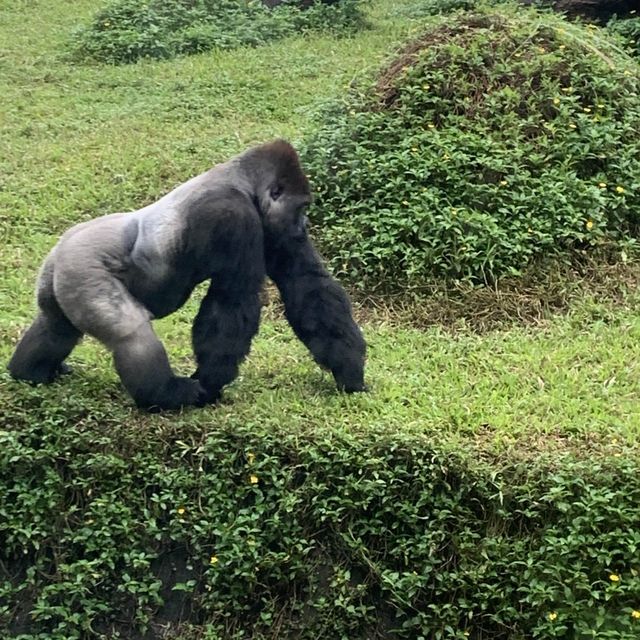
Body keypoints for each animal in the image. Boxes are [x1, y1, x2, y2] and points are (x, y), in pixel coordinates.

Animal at [7, 139, 368, 410]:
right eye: (302, 207)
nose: (303, 226)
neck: (243, 181)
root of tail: (62, 247)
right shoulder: (232, 215)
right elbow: (231, 300)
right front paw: (208, 383)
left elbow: (305, 284)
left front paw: (349, 369)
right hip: (83, 267)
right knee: (130, 332)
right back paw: (163, 394)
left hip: (59, 273)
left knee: (55, 326)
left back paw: (29, 372)